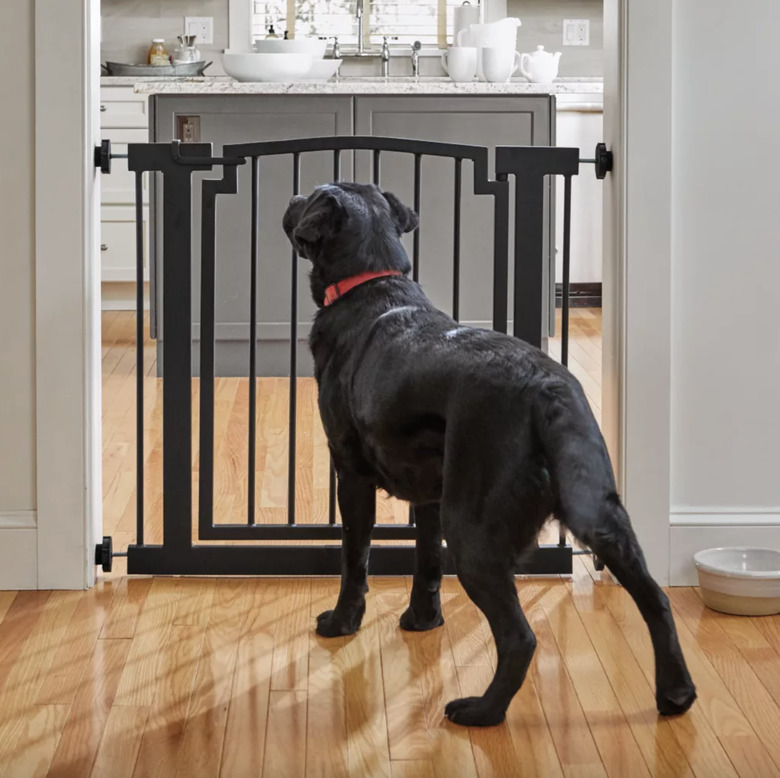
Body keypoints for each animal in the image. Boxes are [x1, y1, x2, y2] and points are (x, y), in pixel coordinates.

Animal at [284, 179, 696, 724]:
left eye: (311, 194)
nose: (291, 198)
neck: (372, 282)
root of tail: (545, 388)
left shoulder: (350, 472)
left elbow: (356, 557)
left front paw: (341, 622)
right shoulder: (431, 492)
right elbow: (425, 563)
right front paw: (423, 621)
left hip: (473, 534)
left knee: (520, 637)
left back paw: (481, 710)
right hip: (600, 512)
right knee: (656, 600)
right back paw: (676, 693)